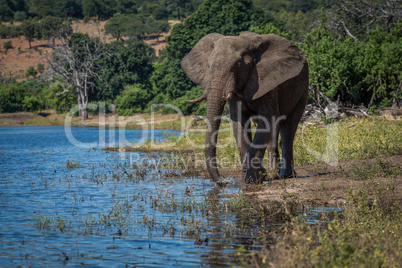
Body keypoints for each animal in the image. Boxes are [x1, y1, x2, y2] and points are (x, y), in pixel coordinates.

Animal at [181, 30, 310, 183]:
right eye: (209, 65)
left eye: (238, 65)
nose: (224, 182)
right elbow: (238, 123)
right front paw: (258, 175)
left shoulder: (268, 82)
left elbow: (268, 119)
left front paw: (253, 179)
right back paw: (275, 175)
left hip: (303, 87)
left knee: (289, 127)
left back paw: (287, 175)